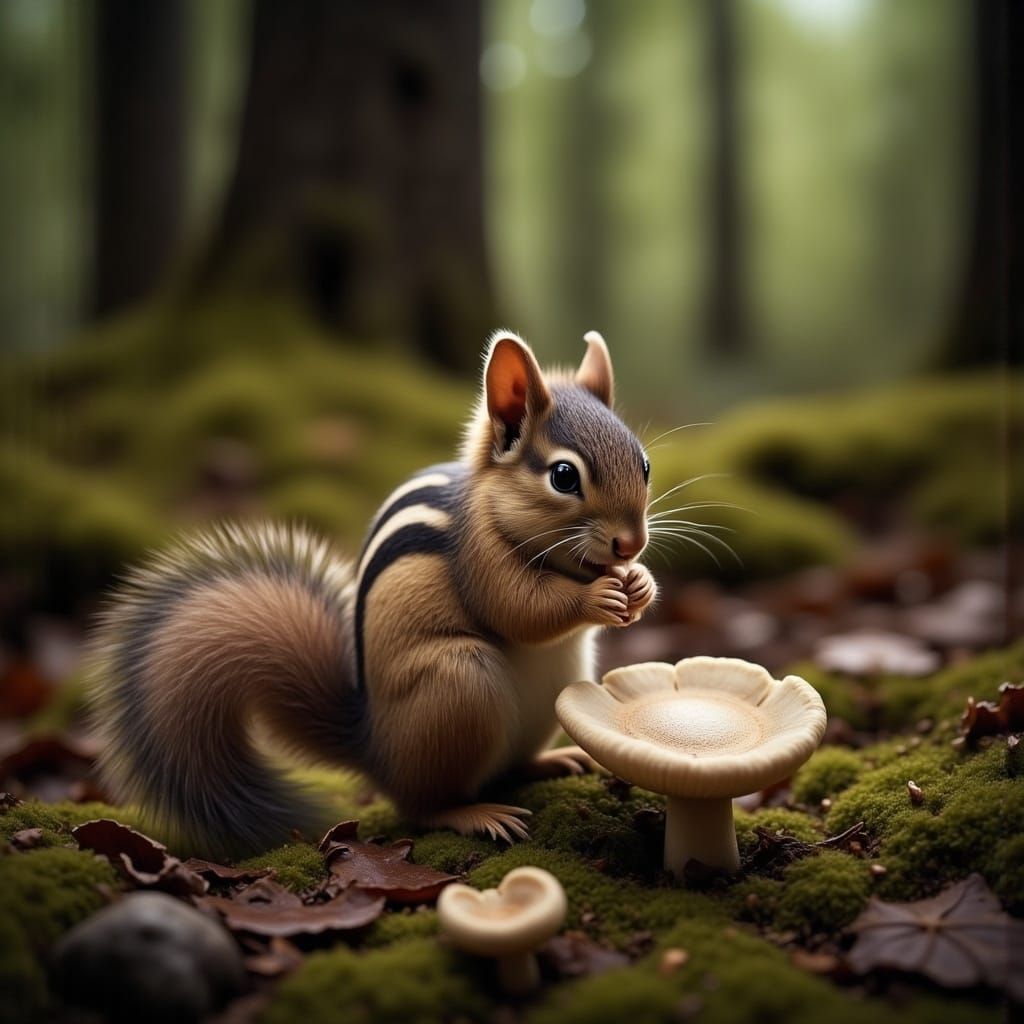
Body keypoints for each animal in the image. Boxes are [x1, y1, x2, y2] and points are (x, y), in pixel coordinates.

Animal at [89, 331, 657, 858]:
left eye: (645, 464)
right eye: (563, 476)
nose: (631, 542)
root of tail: (373, 747)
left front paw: (639, 583)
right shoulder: (479, 557)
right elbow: (519, 609)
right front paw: (598, 597)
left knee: (508, 768)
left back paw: (553, 761)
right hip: (459, 683)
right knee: (423, 805)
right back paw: (475, 814)